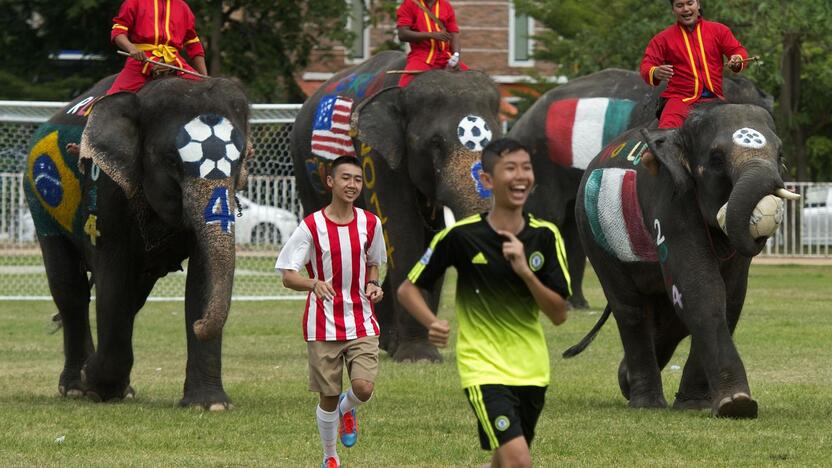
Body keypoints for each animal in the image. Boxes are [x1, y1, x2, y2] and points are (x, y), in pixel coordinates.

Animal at [25, 75, 250, 408]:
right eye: (171, 161)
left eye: (241, 160)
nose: (200, 325)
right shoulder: (106, 189)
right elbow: (112, 278)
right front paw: (94, 384)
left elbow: (200, 280)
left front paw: (210, 405)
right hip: (41, 205)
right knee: (70, 290)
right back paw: (76, 386)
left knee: (134, 296)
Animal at [292, 51, 500, 362]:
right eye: (435, 143)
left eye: (496, 143)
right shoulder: (376, 156)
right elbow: (402, 231)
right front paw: (418, 356)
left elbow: (432, 242)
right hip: (305, 168)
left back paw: (385, 341)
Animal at [568, 101, 796, 416]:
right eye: (716, 158)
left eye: (781, 155)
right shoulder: (669, 202)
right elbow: (700, 288)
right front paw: (736, 404)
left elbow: (731, 296)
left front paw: (698, 406)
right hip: (593, 236)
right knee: (630, 309)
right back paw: (646, 403)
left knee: (669, 320)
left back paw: (625, 380)